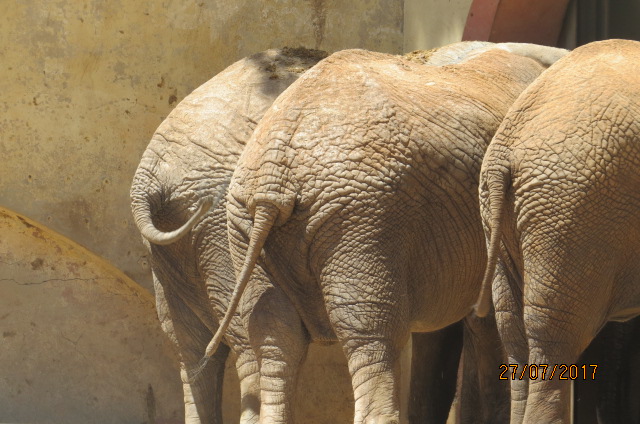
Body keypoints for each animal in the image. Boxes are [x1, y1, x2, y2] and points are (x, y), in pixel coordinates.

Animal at [192, 43, 568, 424]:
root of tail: (274, 171)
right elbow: (482, 323)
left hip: (251, 224)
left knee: (275, 340)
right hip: (360, 221)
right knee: (373, 339)